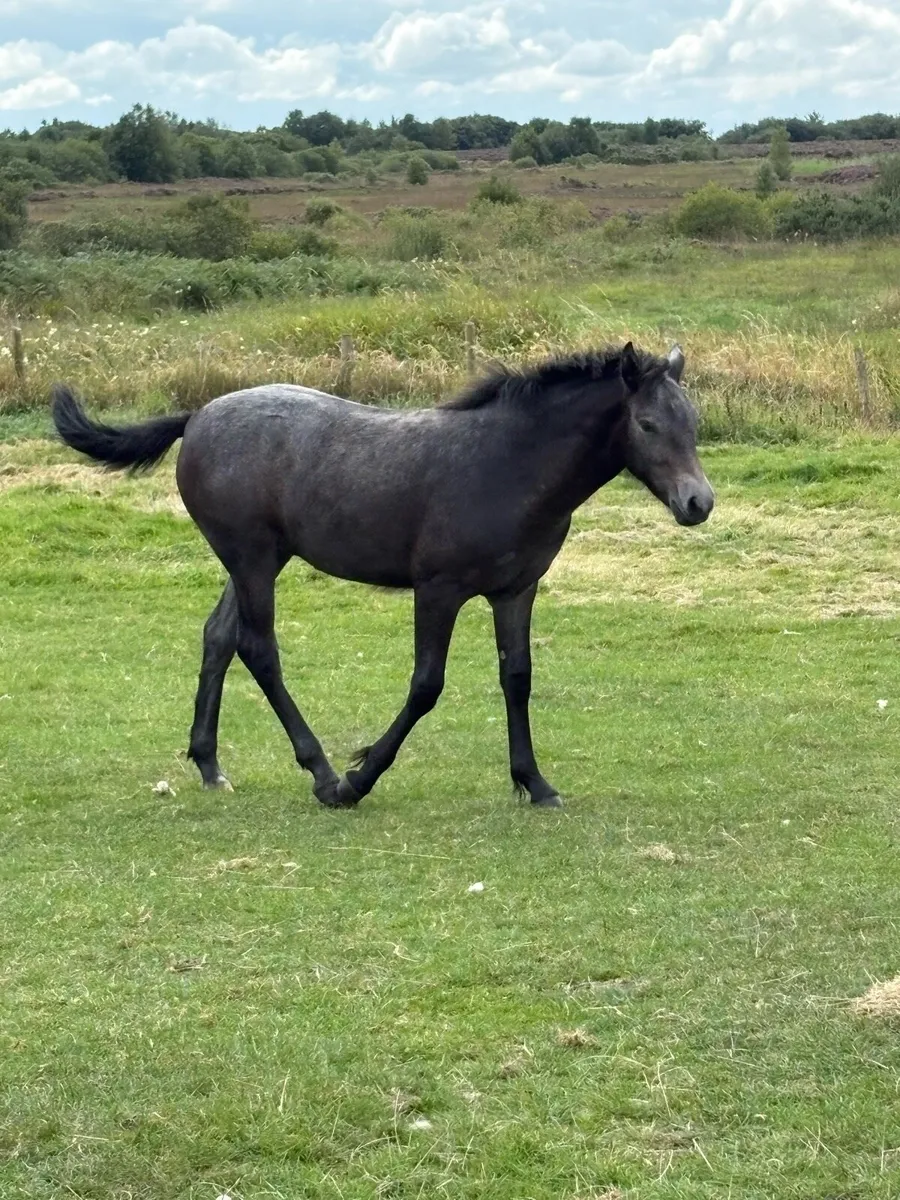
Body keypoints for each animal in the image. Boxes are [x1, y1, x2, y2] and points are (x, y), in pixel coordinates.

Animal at [51, 341, 714, 810]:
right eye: (648, 425)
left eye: (694, 421)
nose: (698, 503)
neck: (507, 462)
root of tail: (198, 416)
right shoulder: (439, 590)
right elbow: (426, 686)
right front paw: (358, 778)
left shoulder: (515, 591)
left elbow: (518, 678)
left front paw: (535, 782)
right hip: (253, 559)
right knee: (258, 649)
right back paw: (320, 773)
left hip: (255, 560)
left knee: (218, 637)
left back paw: (211, 766)